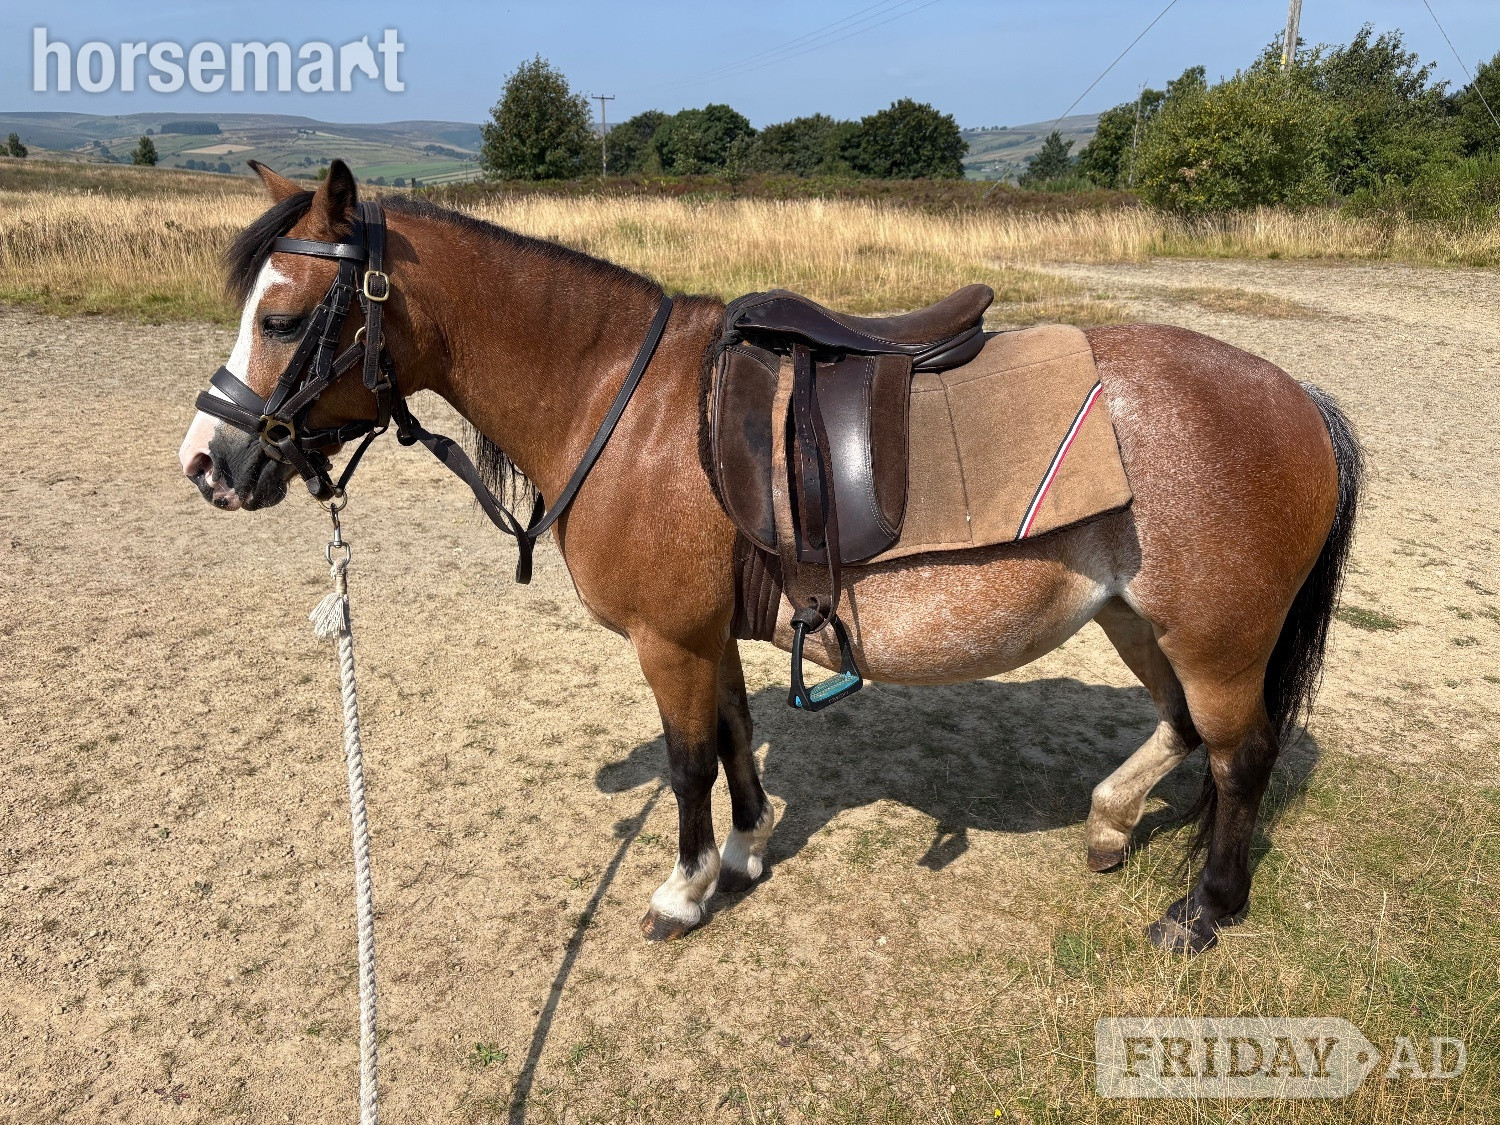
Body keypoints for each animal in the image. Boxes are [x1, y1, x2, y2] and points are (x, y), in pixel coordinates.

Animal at [179, 160, 1361, 955]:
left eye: (283, 318)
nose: (206, 462)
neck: (628, 405)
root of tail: (1300, 398)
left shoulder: (667, 640)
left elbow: (688, 762)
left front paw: (684, 890)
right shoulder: (710, 634)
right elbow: (738, 738)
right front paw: (747, 855)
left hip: (1214, 635)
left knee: (1240, 755)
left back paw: (1203, 910)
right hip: (1135, 616)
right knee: (1184, 730)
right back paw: (1112, 826)